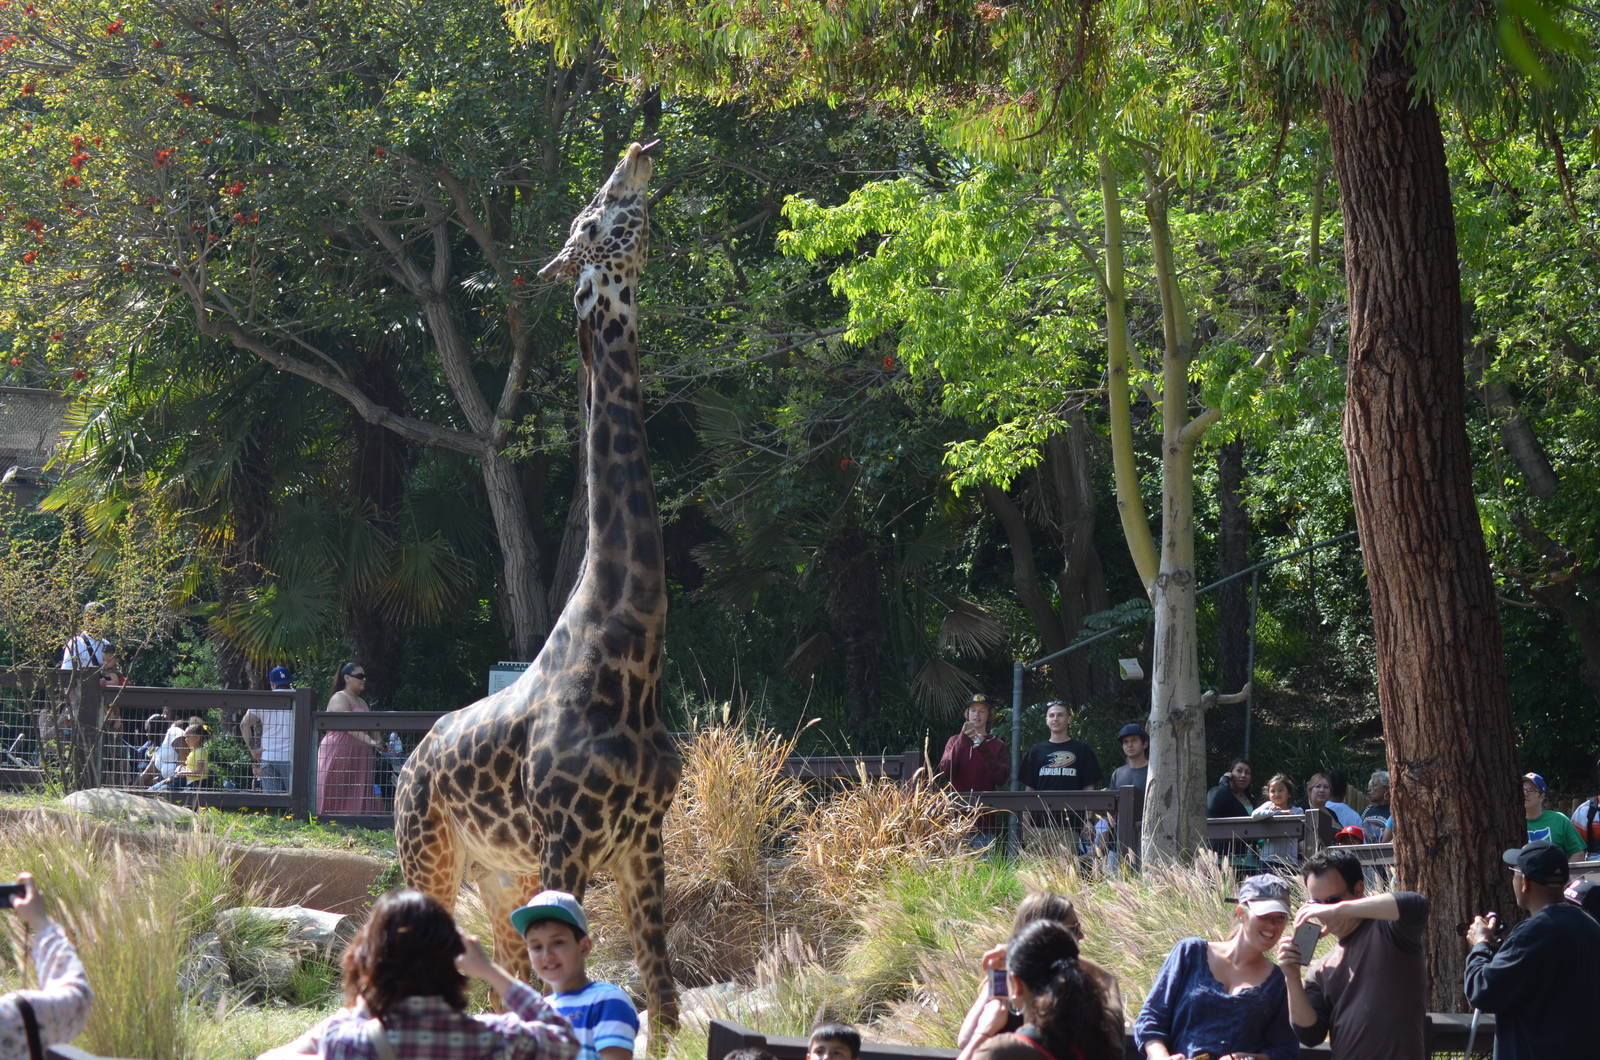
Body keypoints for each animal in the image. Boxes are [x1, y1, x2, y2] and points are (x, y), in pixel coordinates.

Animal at [394, 139, 679, 1041]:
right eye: (590, 219)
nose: (636, 151)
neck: (633, 648)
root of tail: (409, 755)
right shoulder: (569, 838)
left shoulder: (643, 840)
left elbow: (665, 1004)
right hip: (430, 851)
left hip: (502, 876)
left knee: (502, 981)